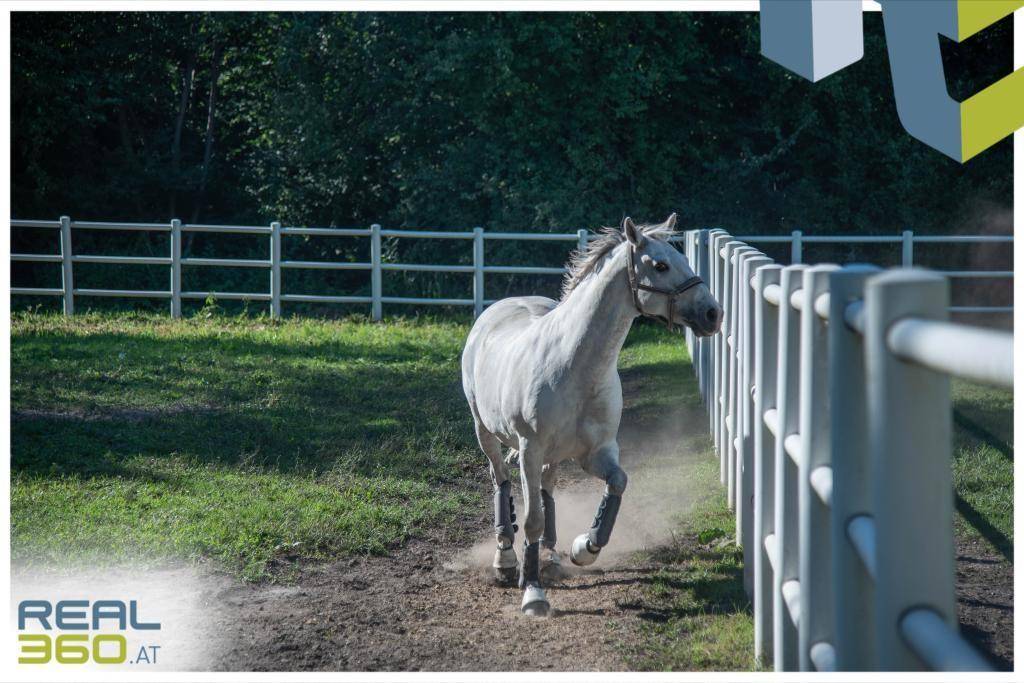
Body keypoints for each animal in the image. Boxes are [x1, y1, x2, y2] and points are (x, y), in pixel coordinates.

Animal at [460, 216, 724, 618]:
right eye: (660, 265)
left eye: (682, 258)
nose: (713, 313)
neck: (574, 365)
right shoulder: (530, 450)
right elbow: (531, 519)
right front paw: (533, 593)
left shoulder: (597, 452)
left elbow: (617, 484)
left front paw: (584, 547)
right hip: (486, 433)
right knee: (501, 481)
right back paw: (505, 558)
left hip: (551, 457)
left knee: (547, 490)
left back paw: (552, 555)